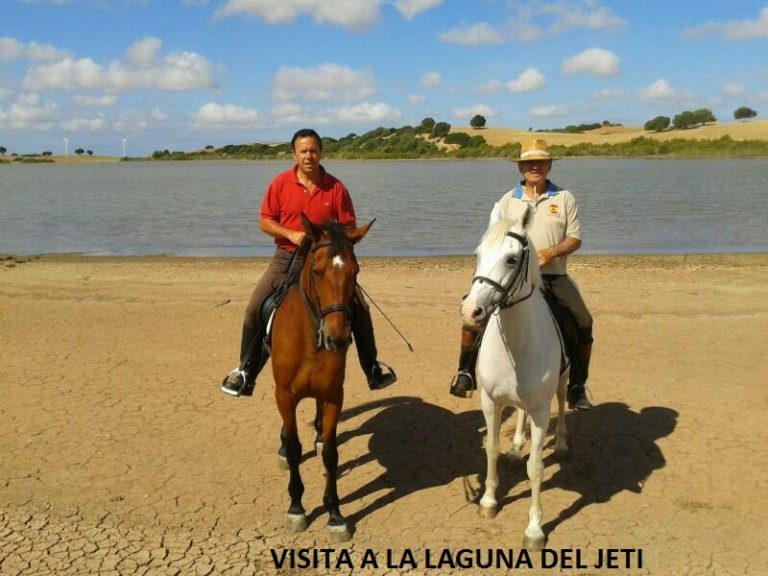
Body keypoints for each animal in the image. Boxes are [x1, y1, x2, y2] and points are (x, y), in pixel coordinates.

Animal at [272, 214, 374, 544]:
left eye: (355, 271)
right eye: (317, 271)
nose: (337, 337)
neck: (310, 340)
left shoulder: (332, 396)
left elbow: (331, 453)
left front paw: (335, 514)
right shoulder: (285, 395)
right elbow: (294, 449)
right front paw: (296, 508)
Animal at [460, 201, 568, 548]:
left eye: (511, 259)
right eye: (478, 254)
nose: (470, 312)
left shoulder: (541, 410)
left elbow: (536, 467)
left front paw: (534, 529)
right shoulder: (490, 401)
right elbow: (491, 448)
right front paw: (488, 502)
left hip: (561, 385)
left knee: (564, 403)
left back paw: (562, 443)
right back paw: (517, 446)